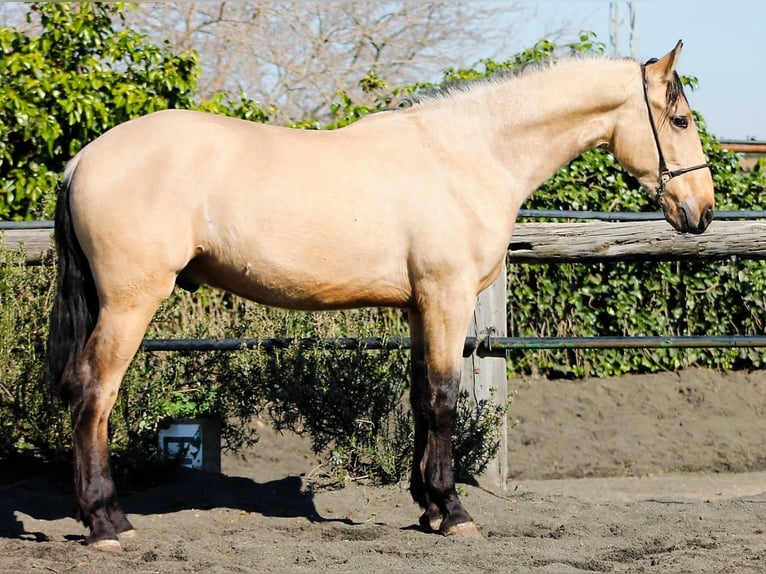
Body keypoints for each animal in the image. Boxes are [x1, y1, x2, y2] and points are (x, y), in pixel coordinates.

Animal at [43, 41, 712, 552]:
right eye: (680, 121)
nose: (701, 211)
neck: (470, 154)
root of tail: (84, 159)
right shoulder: (447, 299)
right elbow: (443, 400)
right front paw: (455, 513)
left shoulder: (420, 307)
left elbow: (420, 399)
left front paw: (429, 508)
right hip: (131, 303)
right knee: (95, 395)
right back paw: (106, 524)